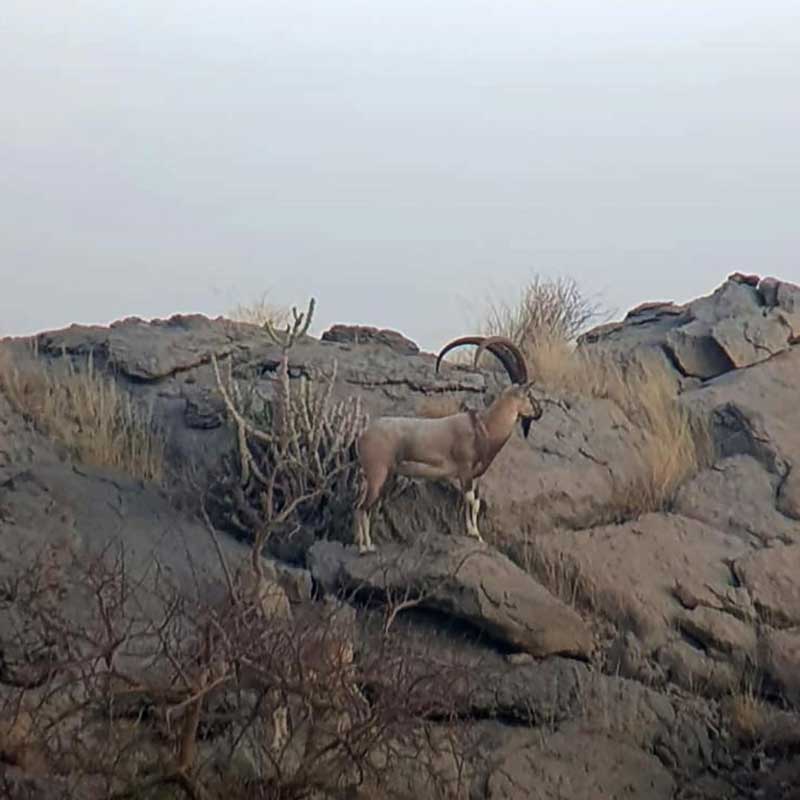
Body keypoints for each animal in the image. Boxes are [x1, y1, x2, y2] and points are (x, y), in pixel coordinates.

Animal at [352, 334, 544, 552]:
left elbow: (474, 503)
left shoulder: (474, 477)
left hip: (381, 477)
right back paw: (365, 548)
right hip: (377, 473)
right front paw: (475, 534)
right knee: (362, 507)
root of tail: (362, 435)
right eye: (529, 395)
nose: (539, 412)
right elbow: (470, 500)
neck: (483, 426)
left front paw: (474, 534)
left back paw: (369, 545)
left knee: (365, 506)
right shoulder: (465, 470)